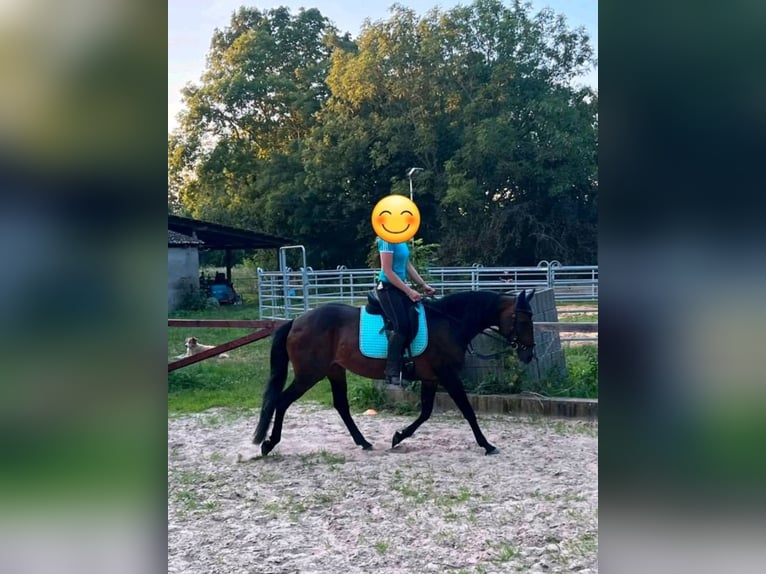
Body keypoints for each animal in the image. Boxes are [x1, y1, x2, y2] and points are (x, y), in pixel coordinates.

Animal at [253, 289, 536, 456]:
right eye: (523, 320)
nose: (529, 354)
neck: (448, 323)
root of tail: (296, 321)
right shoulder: (447, 375)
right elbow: (467, 410)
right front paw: (487, 445)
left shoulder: (432, 378)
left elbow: (426, 412)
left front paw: (398, 437)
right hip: (309, 374)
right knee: (282, 401)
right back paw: (268, 444)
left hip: (334, 370)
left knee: (341, 406)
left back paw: (364, 442)